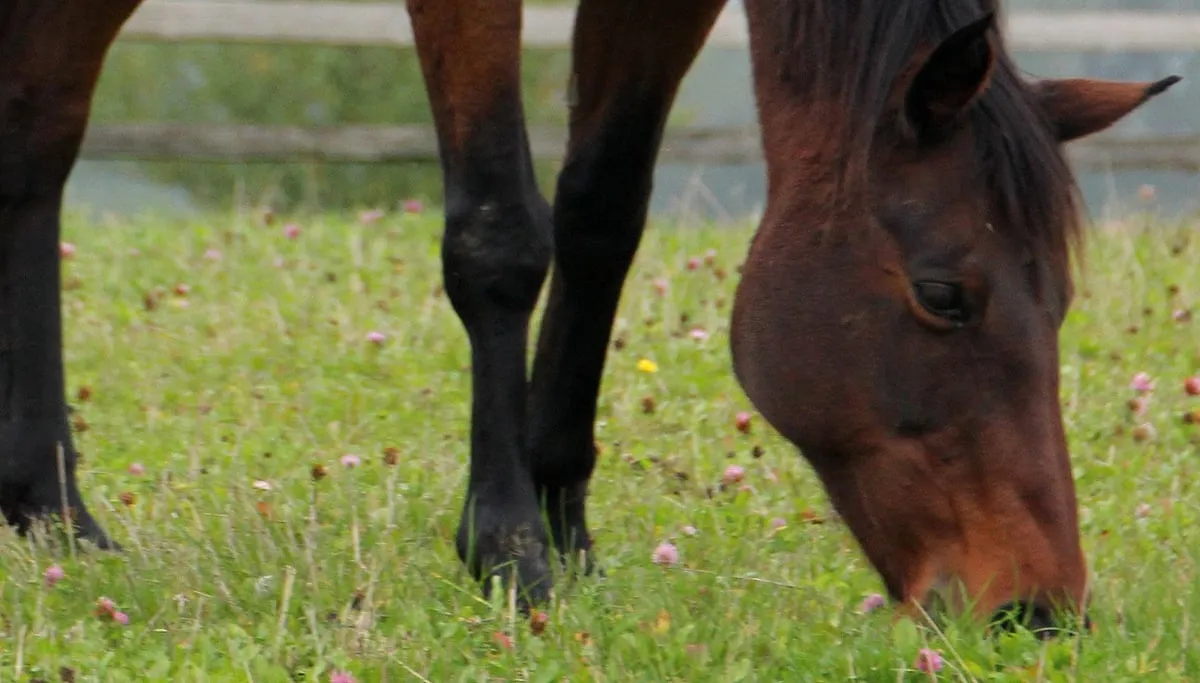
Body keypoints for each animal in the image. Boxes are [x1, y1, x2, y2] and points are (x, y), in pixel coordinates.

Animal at [0, 0, 1178, 634]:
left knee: (37, 142)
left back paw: (47, 507)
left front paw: (565, 520)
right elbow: (500, 234)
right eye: (943, 294)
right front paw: (508, 547)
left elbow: (603, 207)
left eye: (1060, 300)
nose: (1035, 606)